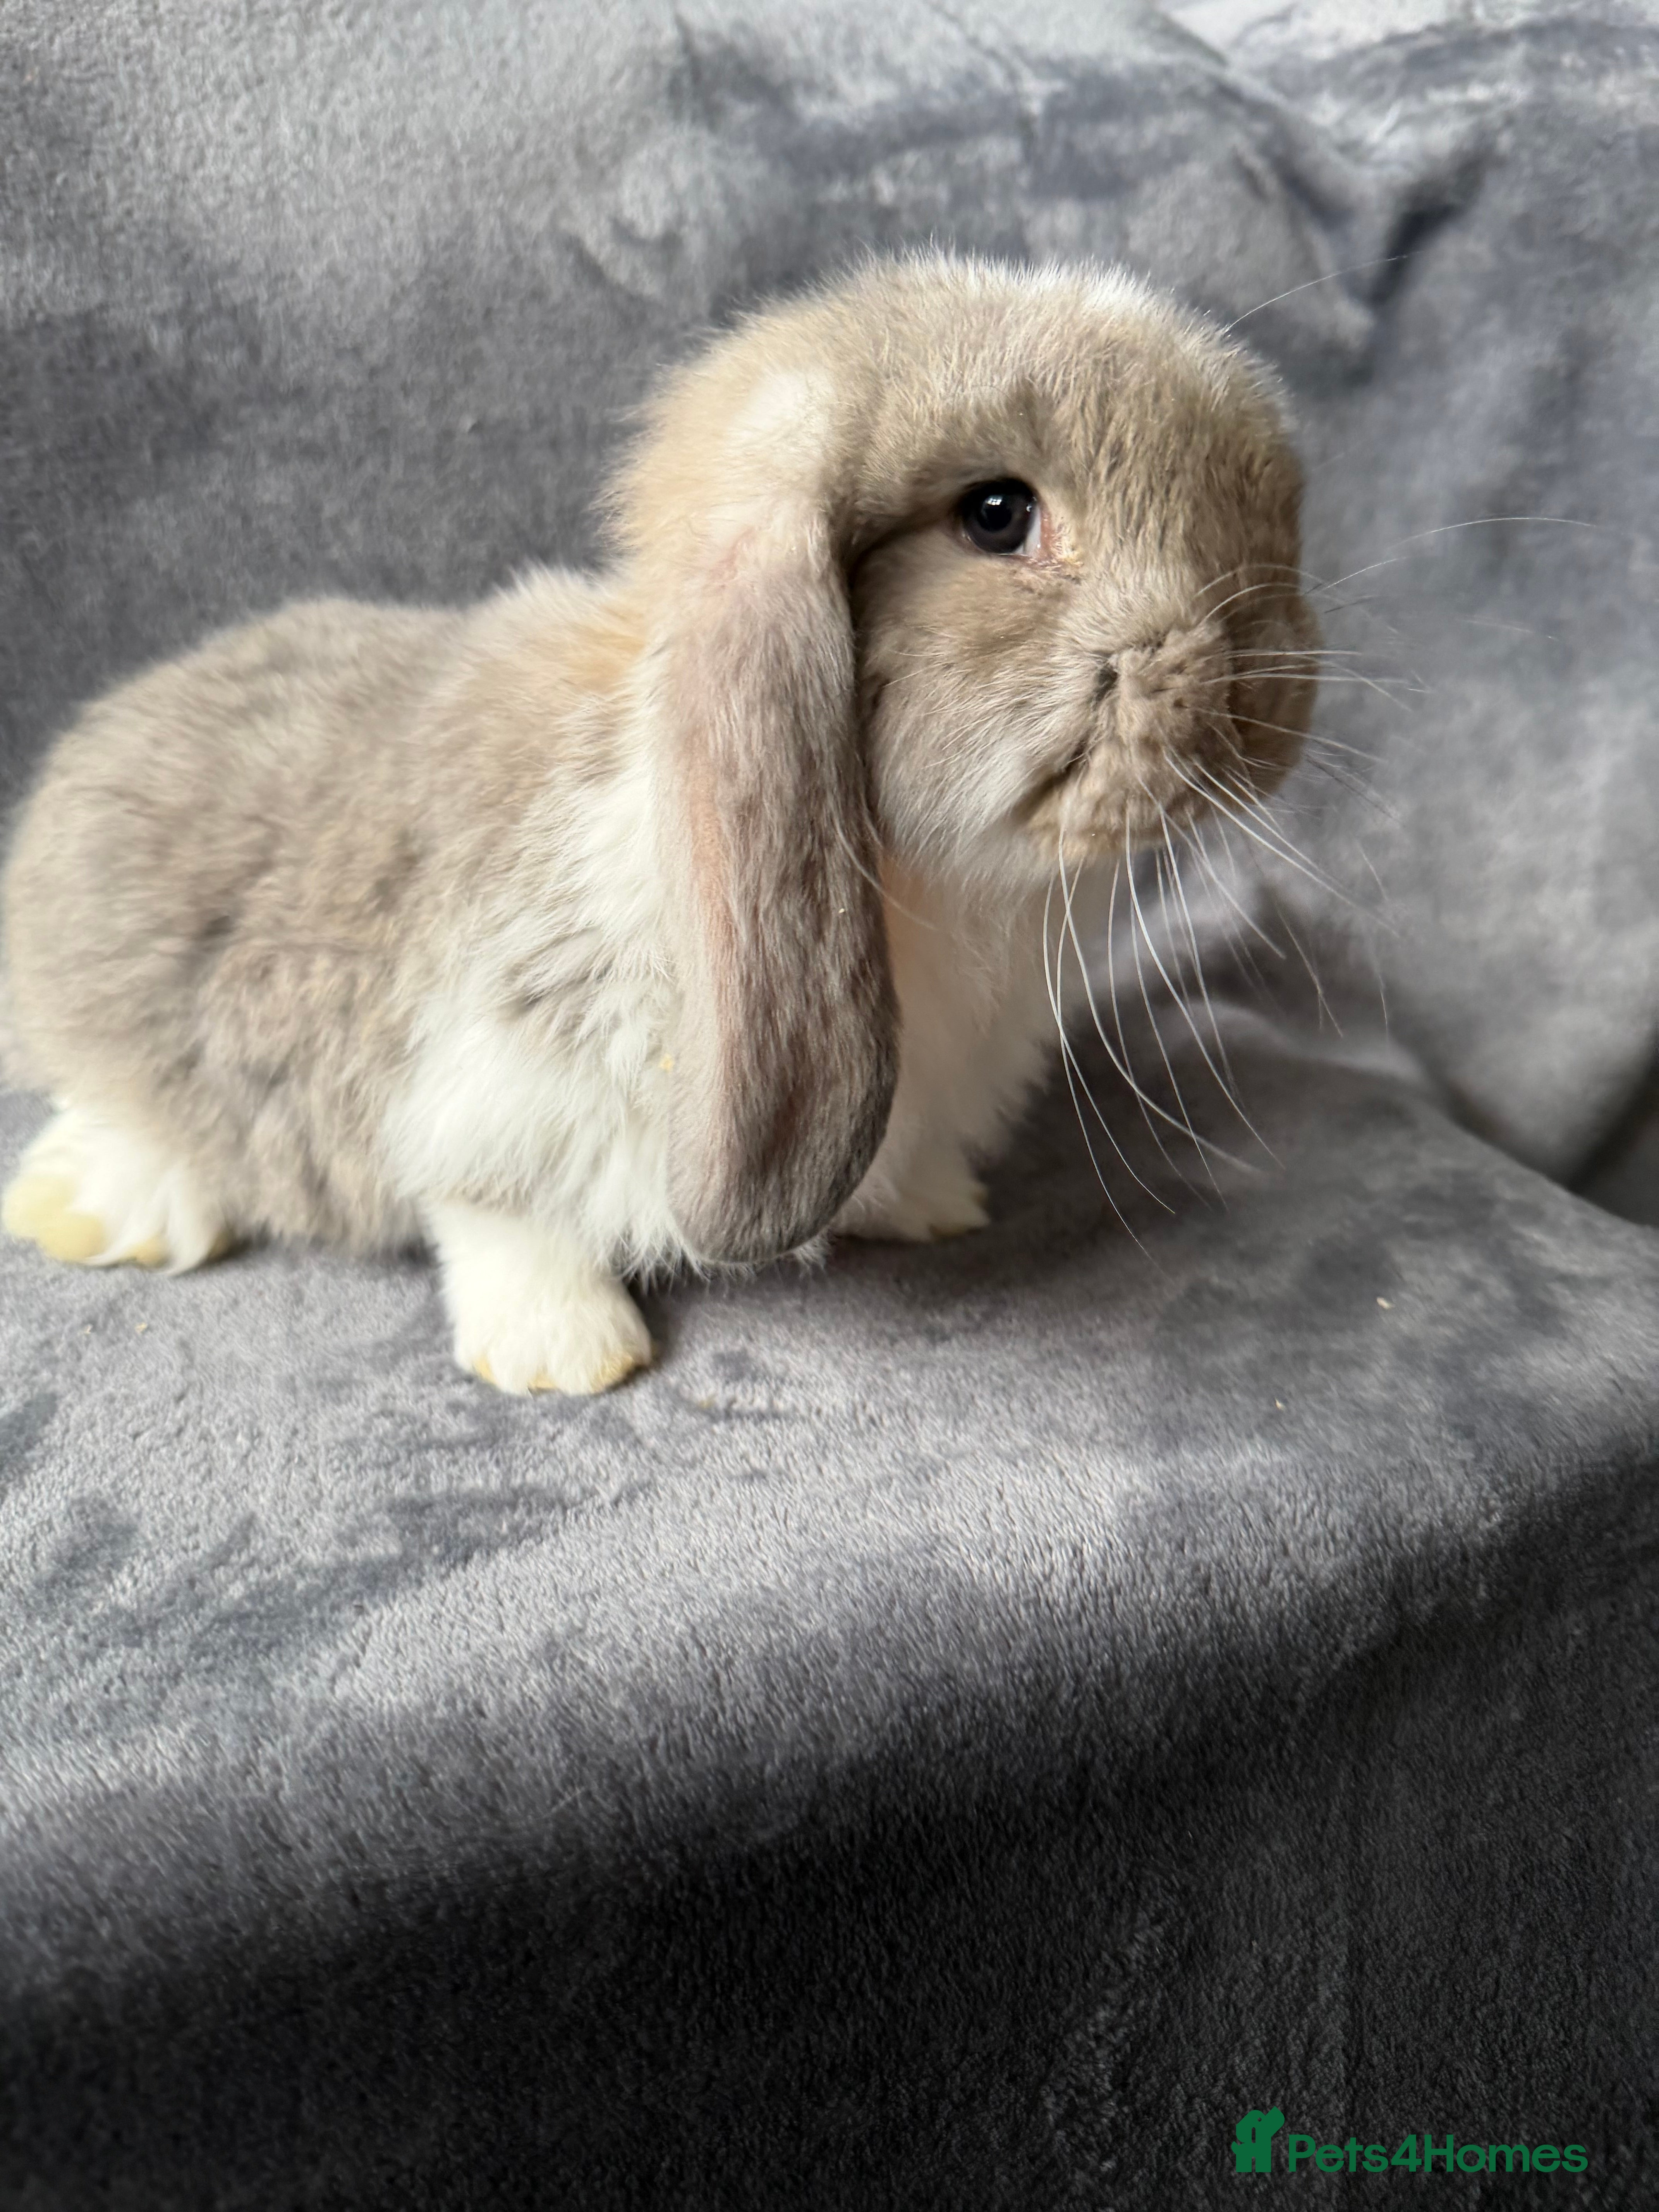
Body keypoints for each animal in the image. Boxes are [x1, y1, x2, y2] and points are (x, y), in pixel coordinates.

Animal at [0, 254, 1318, 1394]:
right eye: (996, 514)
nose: (1263, 689)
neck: (931, 896)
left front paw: (936, 1204)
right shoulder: (493, 1072)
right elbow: (492, 1212)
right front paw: (563, 1354)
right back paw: (88, 1207)